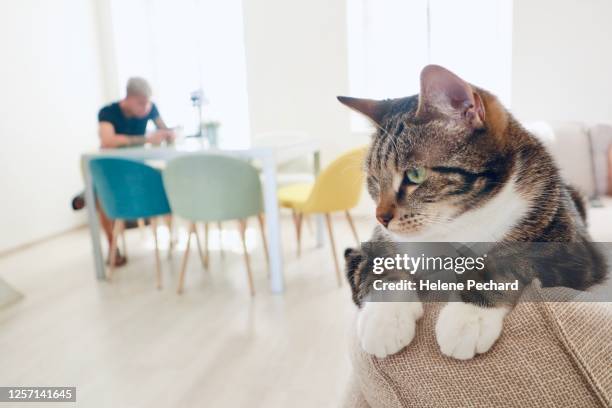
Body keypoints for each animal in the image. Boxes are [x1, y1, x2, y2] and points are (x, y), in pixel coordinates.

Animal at [340, 64, 608, 360]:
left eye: (415, 175)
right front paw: (384, 319)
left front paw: (468, 317)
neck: (456, 225)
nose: (382, 217)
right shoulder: (371, 245)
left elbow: (509, 259)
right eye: (374, 180)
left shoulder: (574, 252)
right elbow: (379, 263)